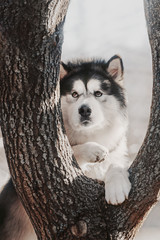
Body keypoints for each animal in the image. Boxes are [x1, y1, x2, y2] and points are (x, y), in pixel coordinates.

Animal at [0, 54, 131, 240]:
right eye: (74, 94)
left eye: (98, 93)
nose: (84, 110)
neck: (89, 135)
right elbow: (70, 149)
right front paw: (93, 149)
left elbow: (116, 164)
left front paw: (117, 186)